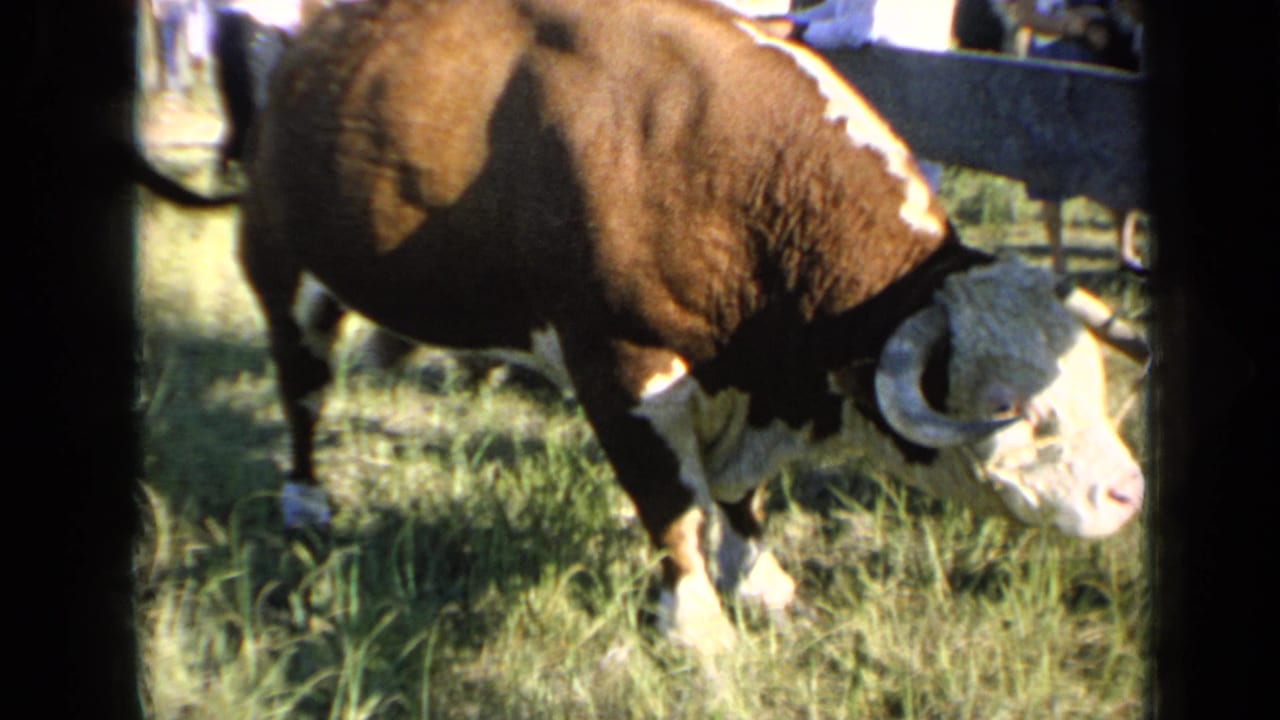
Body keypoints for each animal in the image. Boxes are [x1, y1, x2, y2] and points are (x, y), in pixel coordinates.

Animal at [239, 0, 1148, 655]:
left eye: (1092, 381)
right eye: (1010, 406)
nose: (1129, 492)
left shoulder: (759, 386)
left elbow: (742, 496)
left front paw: (761, 583)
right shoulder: (620, 366)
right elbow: (671, 504)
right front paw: (697, 628)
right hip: (280, 268)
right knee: (302, 389)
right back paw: (305, 500)